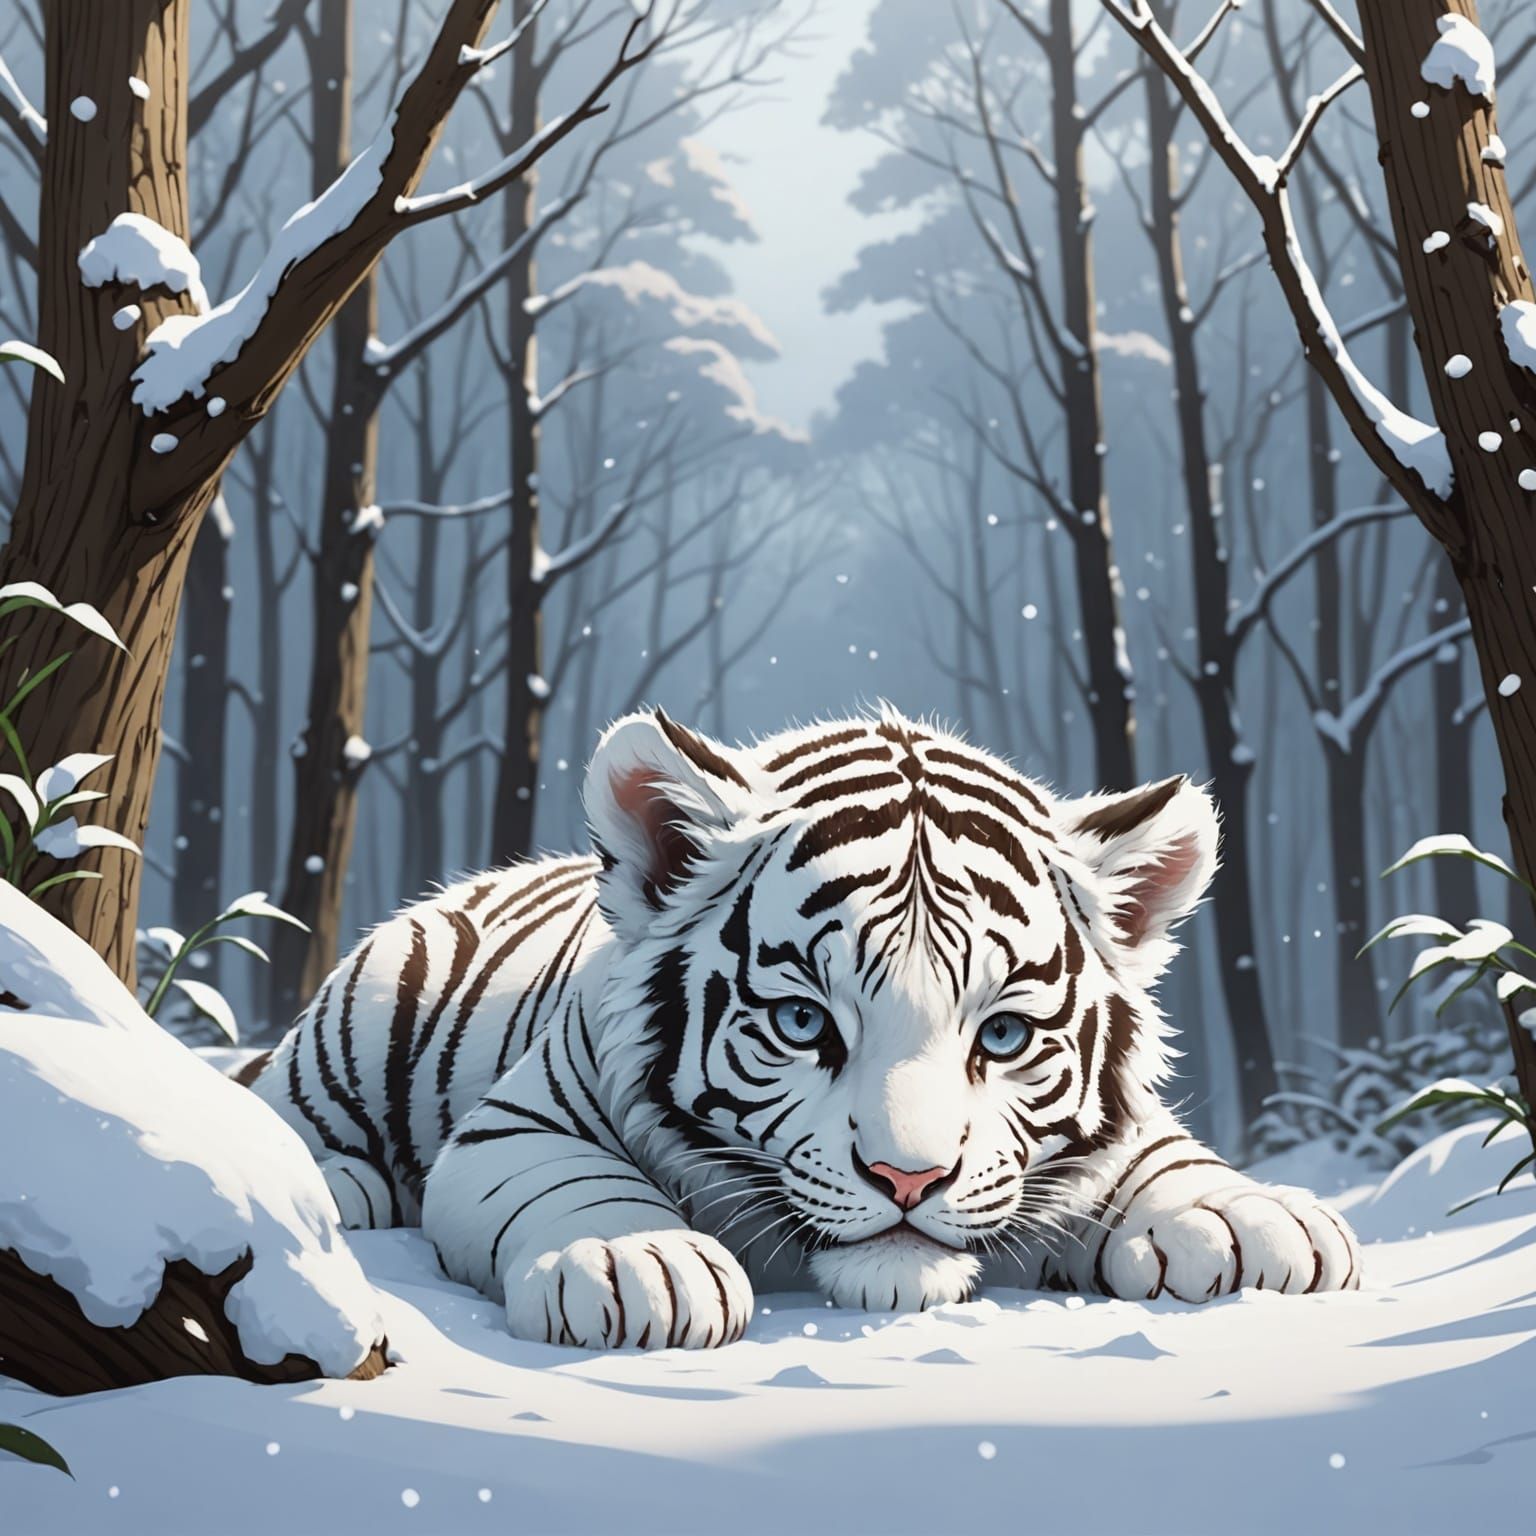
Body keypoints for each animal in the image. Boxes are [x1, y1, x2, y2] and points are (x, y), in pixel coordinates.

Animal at [247, 705, 1359, 1349]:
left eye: (1001, 1038)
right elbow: (570, 1184)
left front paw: (1245, 1220)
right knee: (282, 1108)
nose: (910, 1179)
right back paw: (322, 1181)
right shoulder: (522, 1122)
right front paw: (640, 1264)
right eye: (799, 1021)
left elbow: (1152, 1156)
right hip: (361, 1016)